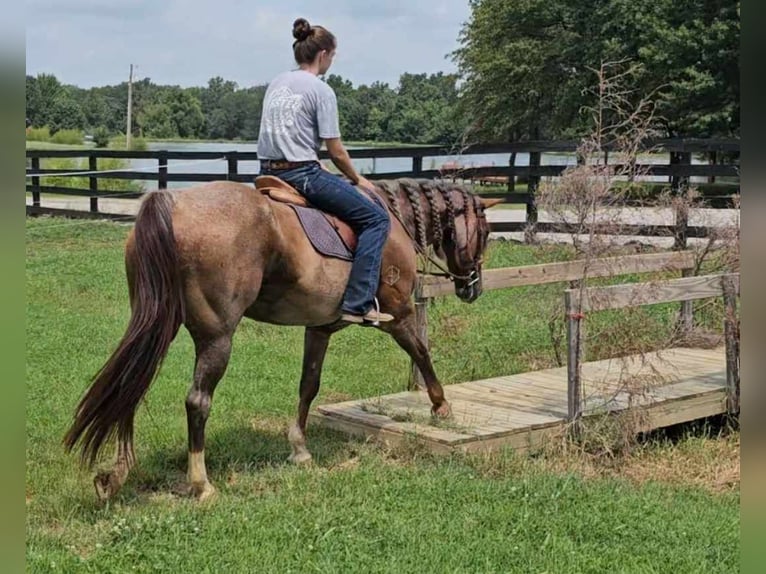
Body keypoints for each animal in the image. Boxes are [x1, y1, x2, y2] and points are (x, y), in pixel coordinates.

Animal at [63, 178, 500, 502]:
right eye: (487, 232)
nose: (472, 288)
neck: (393, 220)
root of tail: (172, 203)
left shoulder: (318, 328)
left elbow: (309, 385)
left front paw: (300, 447)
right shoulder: (400, 314)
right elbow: (422, 352)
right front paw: (442, 407)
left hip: (156, 324)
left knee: (129, 386)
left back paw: (117, 474)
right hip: (216, 337)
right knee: (196, 401)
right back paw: (201, 483)